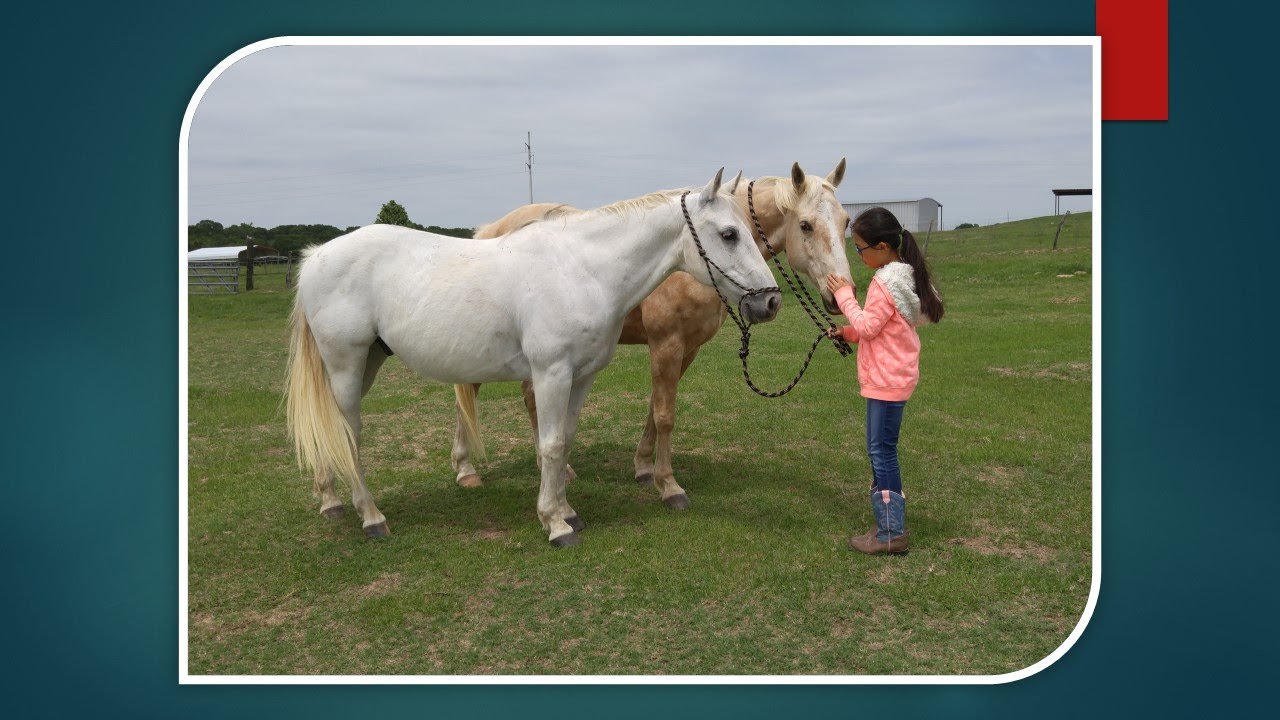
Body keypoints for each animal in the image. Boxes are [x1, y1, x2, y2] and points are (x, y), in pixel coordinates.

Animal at [285, 170, 782, 546]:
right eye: (729, 234)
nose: (771, 302)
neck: (583, 270)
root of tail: (316, 257)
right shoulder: (551, 374)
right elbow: (552, 444)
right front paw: (556, 524)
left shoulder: (581, 377)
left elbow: (565, 441)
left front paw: (567, 510)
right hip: (346, 365)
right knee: (346, 434)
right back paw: (371, 517)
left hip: (365, 362)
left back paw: (331, 501)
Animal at [451, 160, 852, 509]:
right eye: (806, 225)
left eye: (846, 221)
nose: (838, 294)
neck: (685, 261)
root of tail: (490, 230)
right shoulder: (666, 344)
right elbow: (665, 416)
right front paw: (669, 486)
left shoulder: (687, 349)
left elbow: (655, 409)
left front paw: (644, 467)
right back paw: (467, 469)